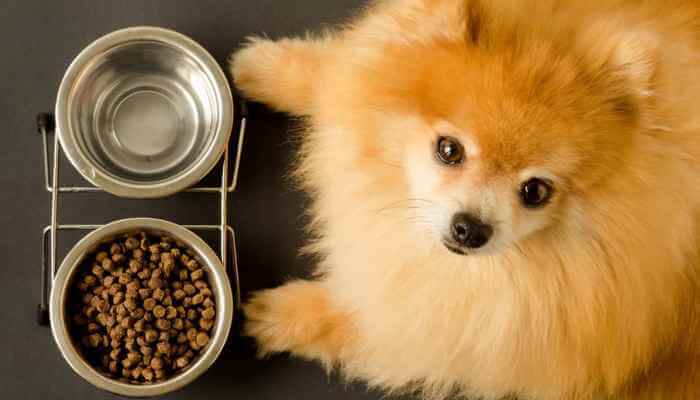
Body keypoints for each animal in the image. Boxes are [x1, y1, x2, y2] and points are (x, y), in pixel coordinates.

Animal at [231, 0, 700, 398]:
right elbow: (342, 73)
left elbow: (387, 324)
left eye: (535, 191)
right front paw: (265, 68)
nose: (470, 228)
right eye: (449, 149)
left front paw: (277, 315)